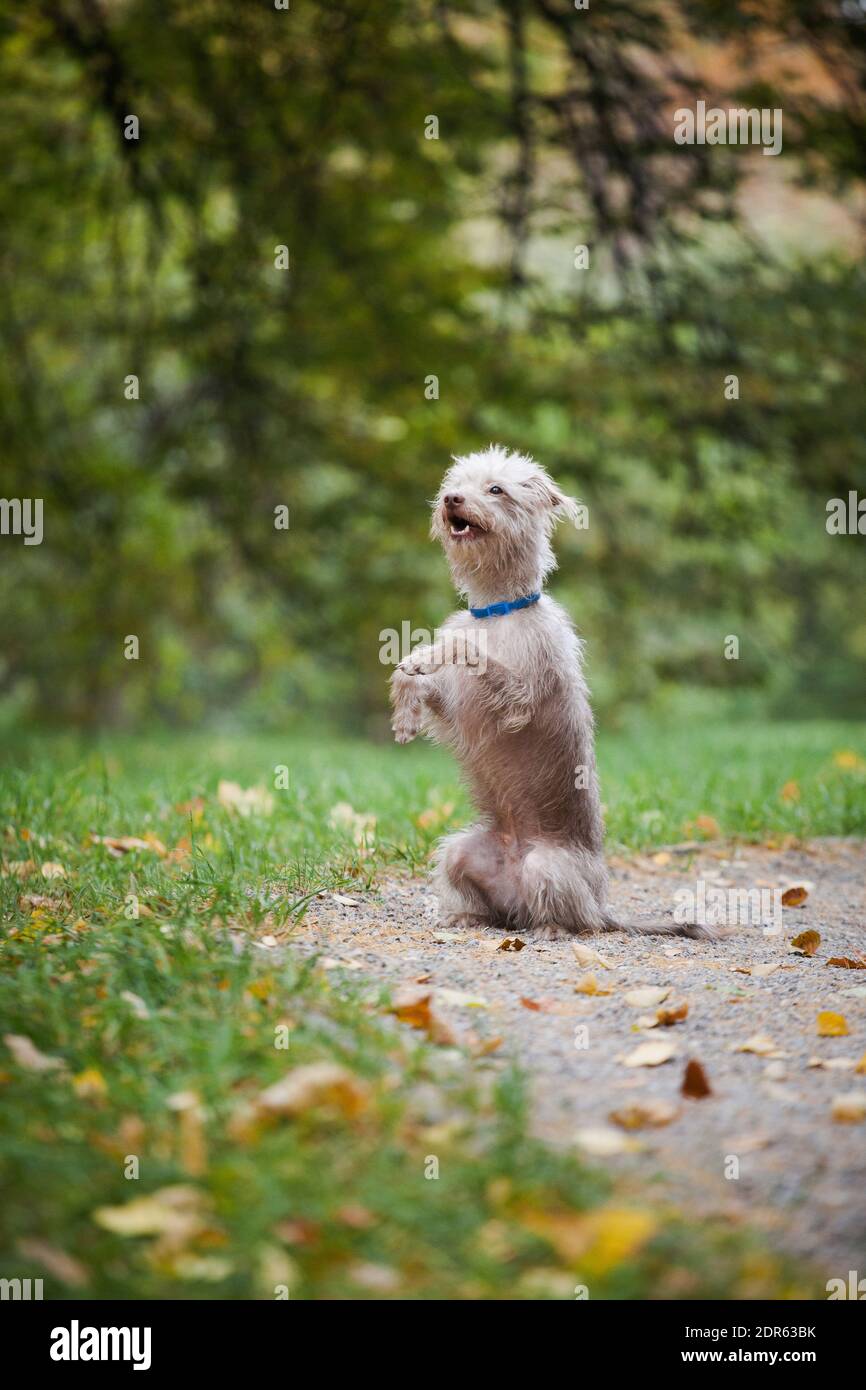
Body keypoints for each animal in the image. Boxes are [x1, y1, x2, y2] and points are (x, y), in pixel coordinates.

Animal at [389, 444, 728, 945]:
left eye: (496, 489)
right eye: (456, 484)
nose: (451, 499)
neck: (497, 612)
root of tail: (601, 904)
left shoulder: (519, 697)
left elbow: (469, 651)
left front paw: (434, 654)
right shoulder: (456, 709)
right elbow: (421, 685)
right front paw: (406, 707)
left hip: (545, 867)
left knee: (573, 920)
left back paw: (552, 927)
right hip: (460, 852)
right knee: (491, 904)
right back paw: (465, 916)